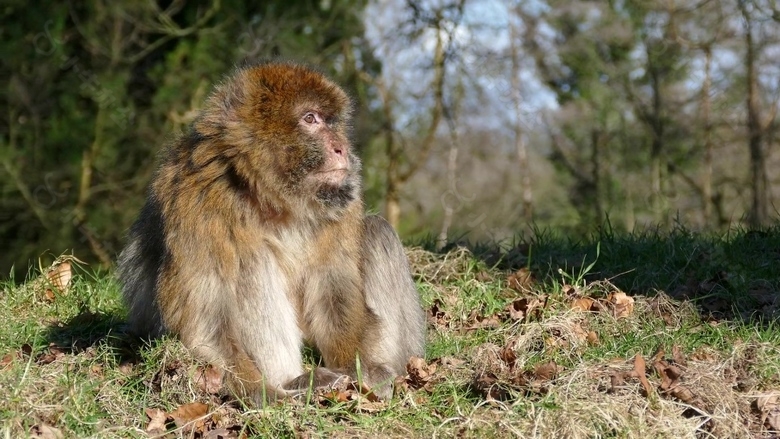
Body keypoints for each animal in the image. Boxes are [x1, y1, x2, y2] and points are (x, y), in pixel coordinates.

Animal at [117, 62, 426, 406]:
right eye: (310, 119)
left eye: (331, 121)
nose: (342, 148)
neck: (272, 198)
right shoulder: (198, 200)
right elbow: (205, 319)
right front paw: (261, 392)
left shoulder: (342, 201)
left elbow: (334, 285)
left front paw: (357, 366)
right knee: (252, 264)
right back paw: (291, 381)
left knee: (377, 231)